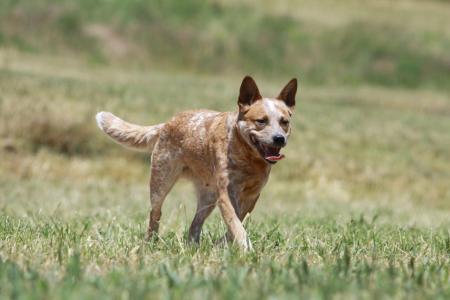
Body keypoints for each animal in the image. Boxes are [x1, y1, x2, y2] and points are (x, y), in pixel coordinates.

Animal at [96, 76, 298, 250]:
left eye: (284, 122)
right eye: (261, 121)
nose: (279, 139)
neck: (249, 159)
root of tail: (167, 123)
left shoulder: (252, 197)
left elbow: (236, 222)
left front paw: (222, 245)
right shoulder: (226, 194)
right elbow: (235, 223)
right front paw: (245, 248)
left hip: (208, 197)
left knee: (194, 225)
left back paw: (193, 246)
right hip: (161, 183)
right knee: (155, 213)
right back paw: (150, 243)